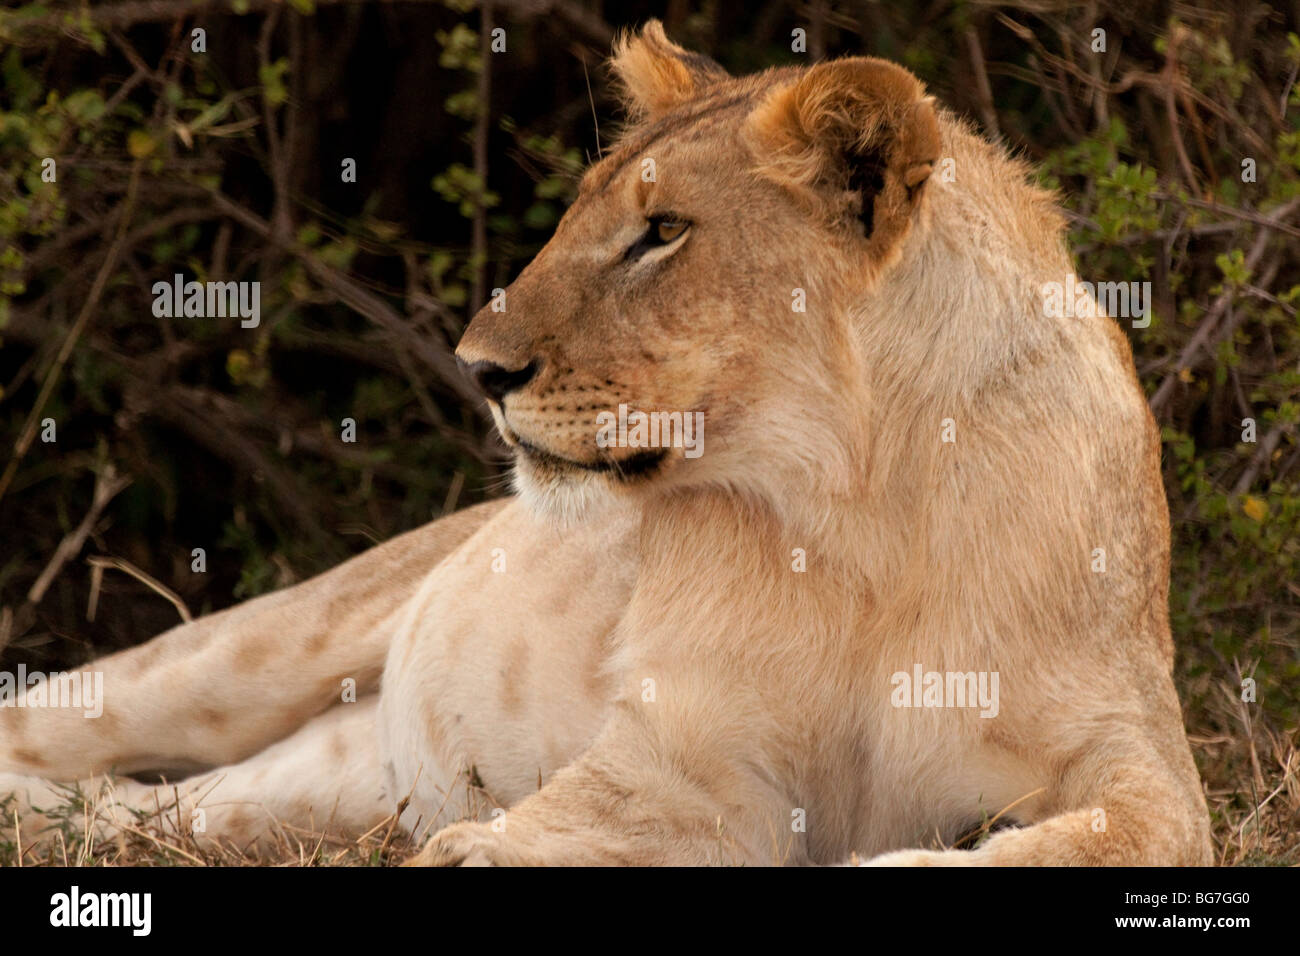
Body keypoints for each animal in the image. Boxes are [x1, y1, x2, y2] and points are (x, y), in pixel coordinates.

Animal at [1, 21, 1212, 866]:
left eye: (661, 232)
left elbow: (1118, 834)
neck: (858, 507)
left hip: (327, 781)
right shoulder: (683, 760)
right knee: (57, 715)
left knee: (176, 807)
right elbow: (577, 818)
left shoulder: (1136, 746)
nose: (477, 368)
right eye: (582, 211)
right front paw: (477, 852)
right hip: (272, 641)